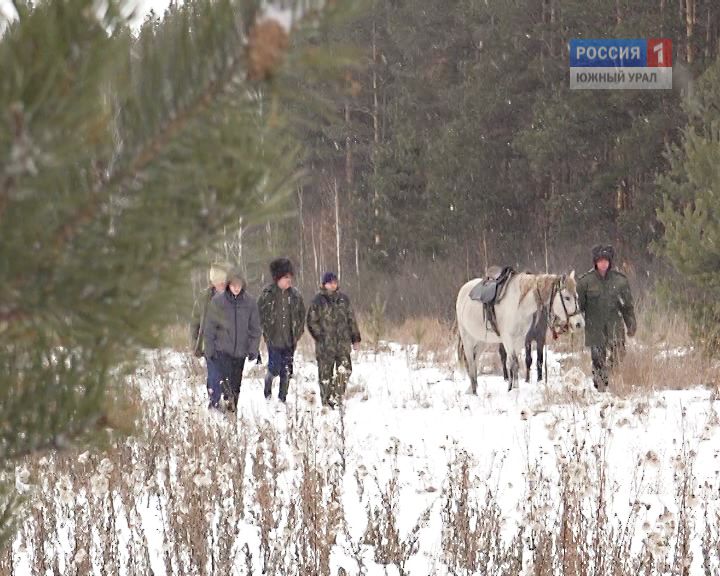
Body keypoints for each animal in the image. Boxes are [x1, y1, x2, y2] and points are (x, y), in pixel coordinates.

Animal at [456, 272, 584, 392]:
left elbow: (514, 363)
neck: (519, 305)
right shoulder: (508, 339)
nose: (579, 323)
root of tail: (463, 290)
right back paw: (474, 391)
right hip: (467, 339)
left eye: (577, 296)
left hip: (481, 341)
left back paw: (471, 389)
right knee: (470, 362)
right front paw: (515, 389)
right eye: (567, 297)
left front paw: (511, 388)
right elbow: (514, 363)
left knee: (475, 361)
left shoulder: (520, 340)